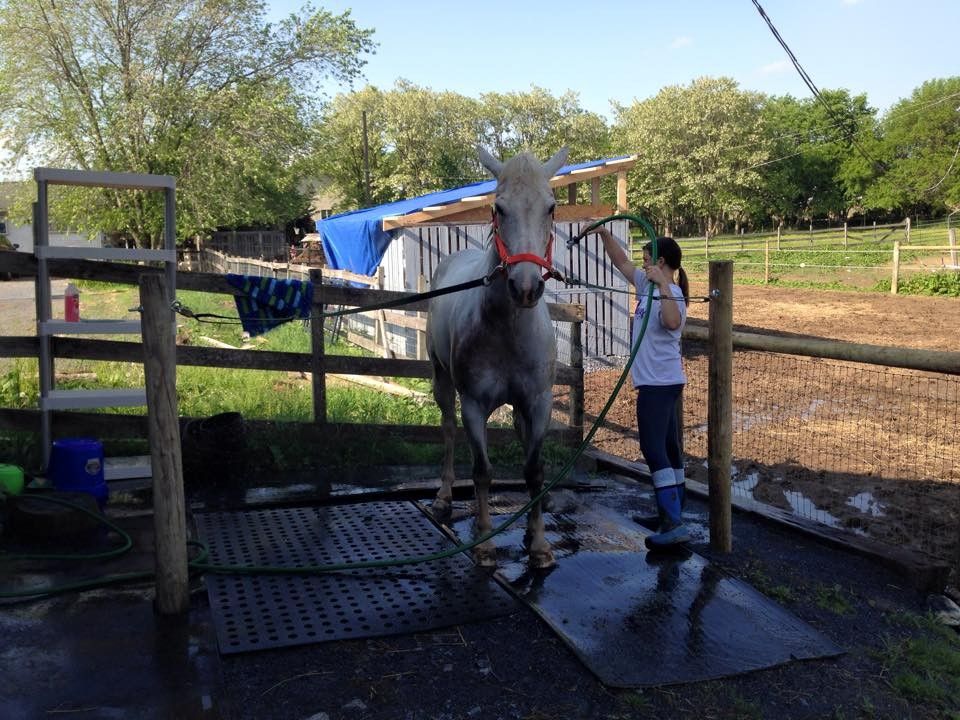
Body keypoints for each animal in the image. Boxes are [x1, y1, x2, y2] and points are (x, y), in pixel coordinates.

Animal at [428, 145, 568, 568]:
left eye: (551, 206)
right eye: (498, 207)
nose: (525, 287)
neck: (507, 328)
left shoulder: (538, 402)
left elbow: (534, 469)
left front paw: (539, 544)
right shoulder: (474, 404)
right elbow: (483, 471)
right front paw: (486, 543)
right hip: (442, 382)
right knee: (448, 430)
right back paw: (446, 499)